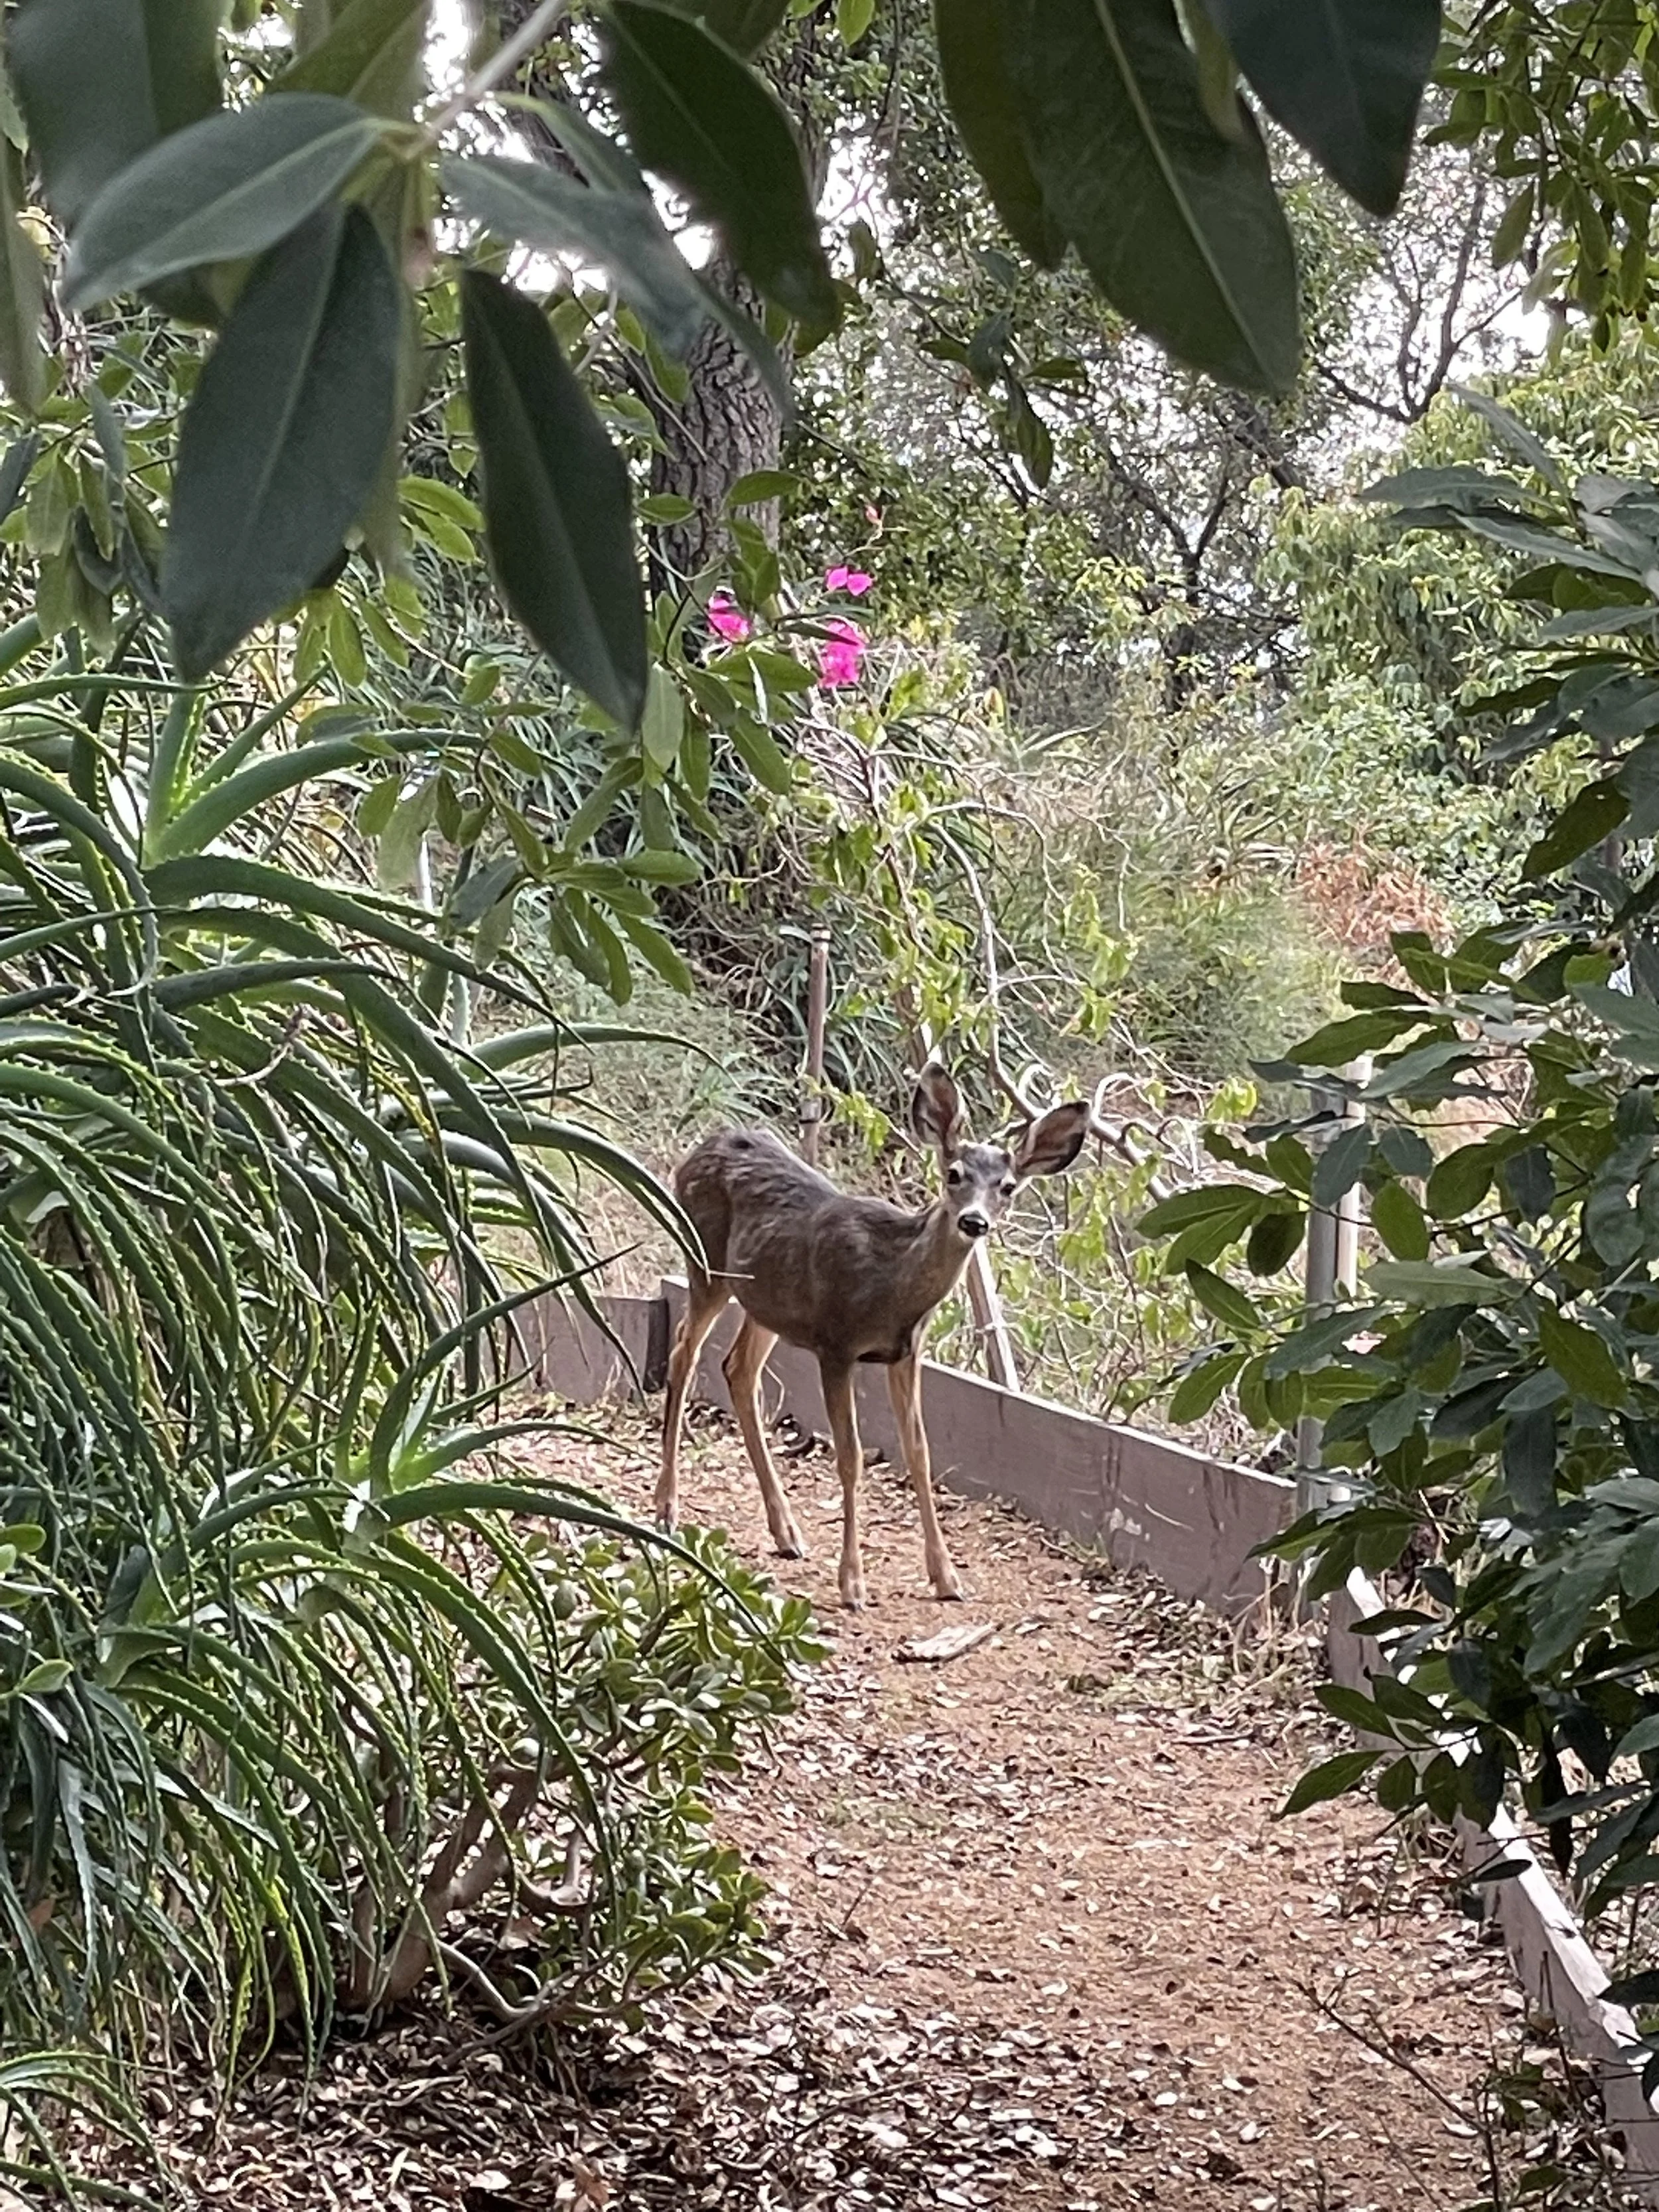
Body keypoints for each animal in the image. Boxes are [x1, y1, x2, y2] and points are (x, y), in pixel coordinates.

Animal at [655, 1063, 1092, 1610]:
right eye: (954, 1174)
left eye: (1008, 1186)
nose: (974, 1220)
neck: (892, 1285)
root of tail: (700, 1147)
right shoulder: (836, 1343)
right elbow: (850, 1457)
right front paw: (852, 1583)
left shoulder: (906, 1353)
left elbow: (920, 1453)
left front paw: (947, 1578)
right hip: (705, 1262)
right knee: (682, 1352)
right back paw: (667, 1508)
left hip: (766, 1301)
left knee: (737, 1369)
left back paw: (787, 1532)